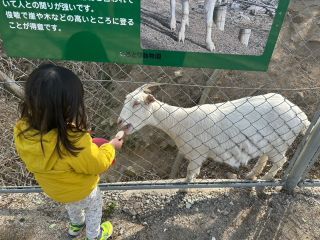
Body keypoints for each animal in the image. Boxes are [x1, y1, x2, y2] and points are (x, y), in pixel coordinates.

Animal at [117, 84, 310, 182]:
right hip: (269, 144)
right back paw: (251, 175)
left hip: (280, 143)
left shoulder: (196, 153)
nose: (119, 121)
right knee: (264, 158)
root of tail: (301, 116)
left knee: (281, 161)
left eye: (137, 103)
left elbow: (190, 172)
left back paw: (268, 178)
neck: (181, 121)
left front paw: (186, 185)